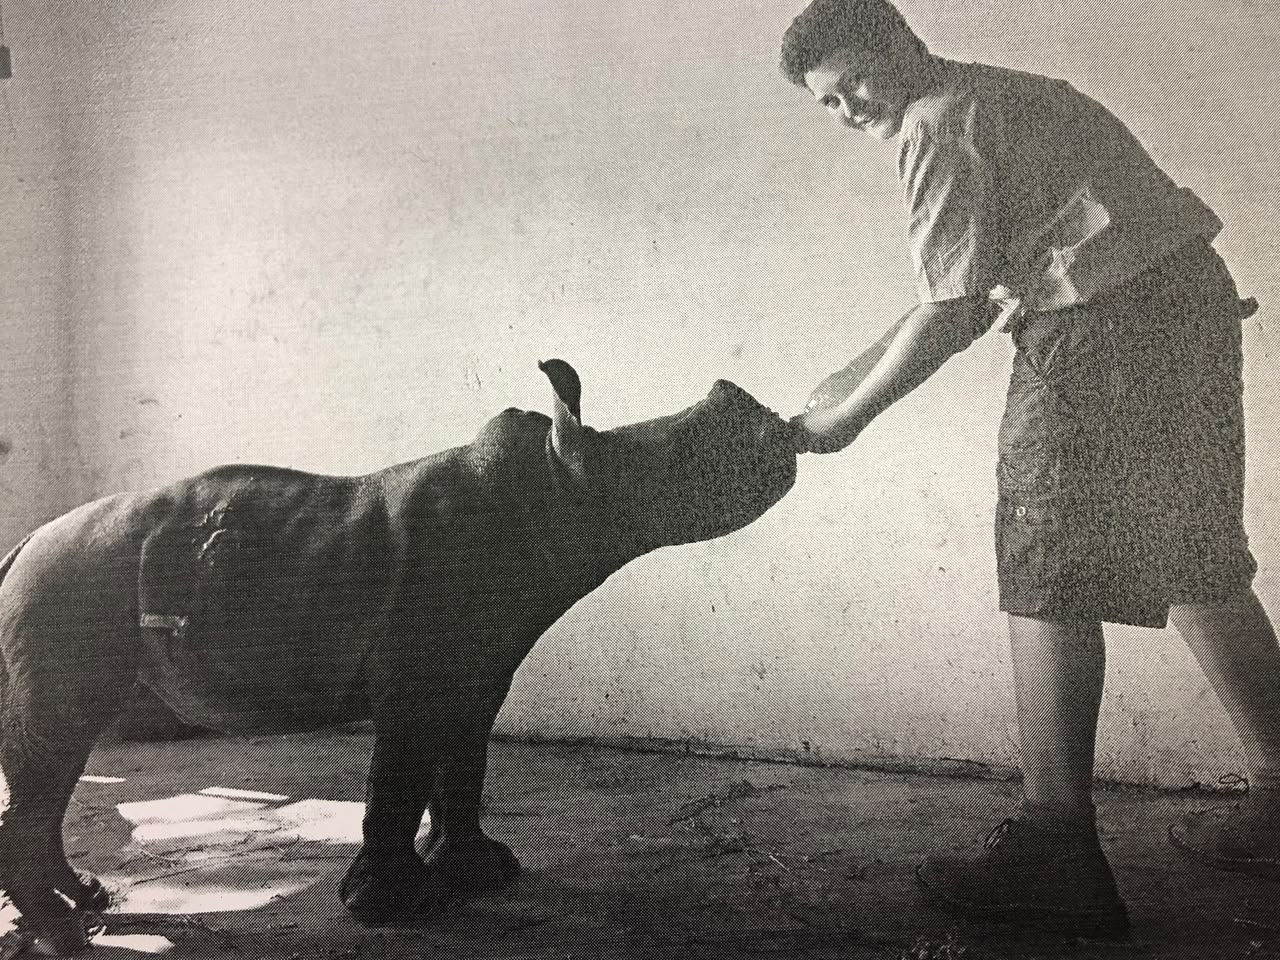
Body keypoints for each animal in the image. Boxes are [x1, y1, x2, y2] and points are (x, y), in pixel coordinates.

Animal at [0, 360, 797, 954]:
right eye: (692, 461)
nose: (771, 425)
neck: (554, 489)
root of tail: (25, 544)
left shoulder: (477, 666)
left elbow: (462, 765)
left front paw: (481, 874)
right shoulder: (415, 672)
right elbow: (401, 775)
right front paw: (390, 906)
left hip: (70, 582)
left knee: (53, 758)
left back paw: (86, 901)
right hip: (71, 583)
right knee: (58, 744)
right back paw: (66, 931)